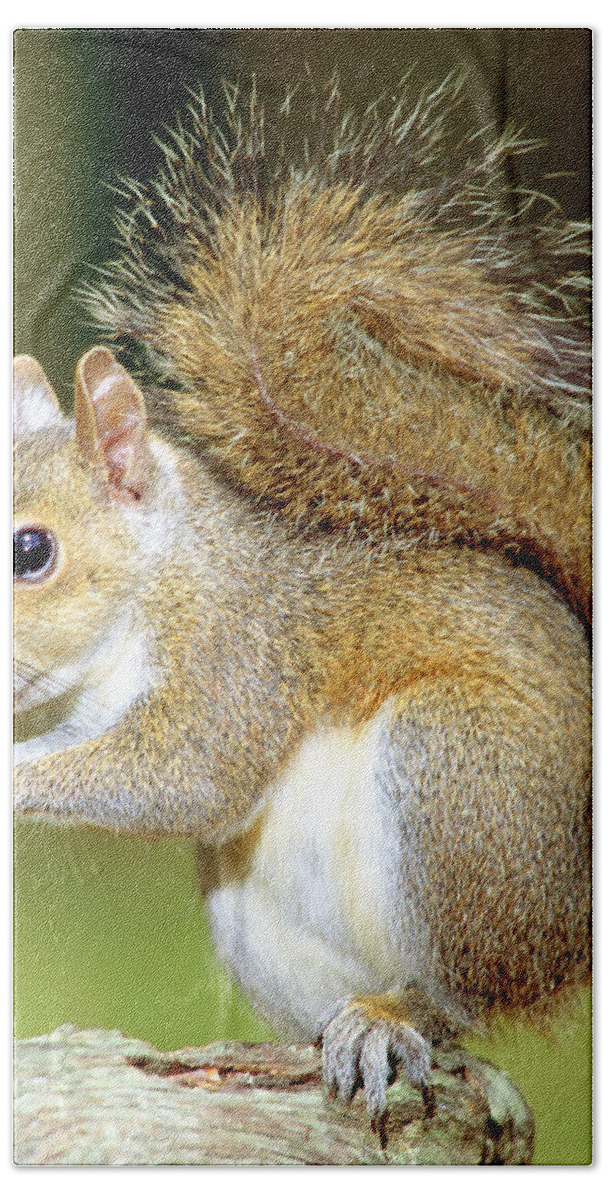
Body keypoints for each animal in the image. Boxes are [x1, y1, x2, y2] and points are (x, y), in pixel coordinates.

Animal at [13, 77, 590, 1123]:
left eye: (31, 551)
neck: (170, 571)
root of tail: (569, 930)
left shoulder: (237, 650)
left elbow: (189, 774)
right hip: (255, 917)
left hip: (462, 782)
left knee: (464, 1002)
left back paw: (399, 1016)